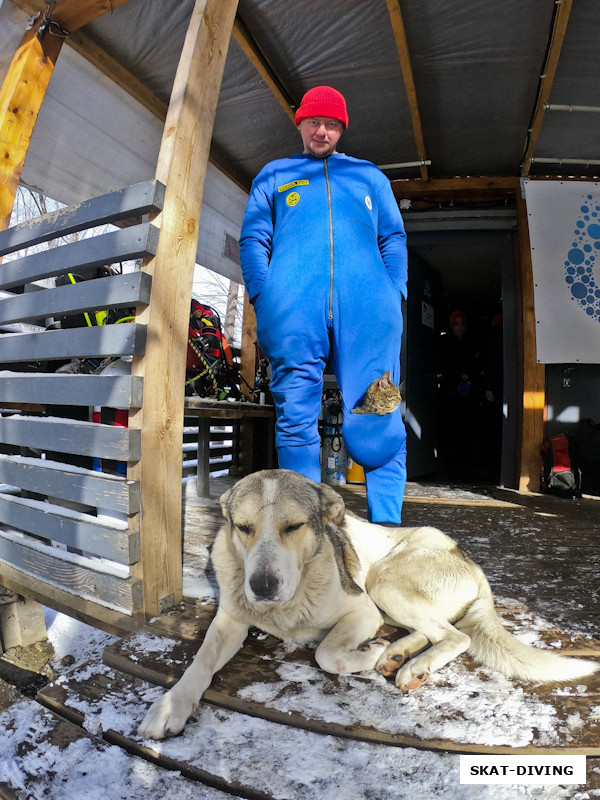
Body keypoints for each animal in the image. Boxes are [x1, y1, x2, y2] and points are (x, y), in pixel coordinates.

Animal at [139, 466, 596, 740]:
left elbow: (326, 654)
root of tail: (468, 559)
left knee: (455, 637)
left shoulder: (361, 610)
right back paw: (398, 653)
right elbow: (198, 664)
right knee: (430, 630)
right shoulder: (230, 621)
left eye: (294, 527)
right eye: (243, 527)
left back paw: (407, 664)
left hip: (383, 583)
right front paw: (171, 705)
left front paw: (369, 652)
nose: (263, 585)